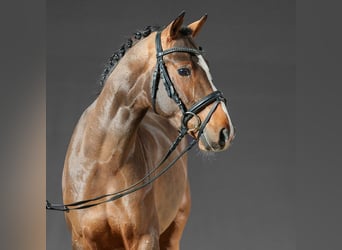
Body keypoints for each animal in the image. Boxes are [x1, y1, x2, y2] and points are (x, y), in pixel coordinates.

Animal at [61, 12, 235, 250]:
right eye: (184, 70)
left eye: (207, 67)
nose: (225, 130)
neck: (102, 161)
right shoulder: (82, 241)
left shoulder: (145, 238)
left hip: (171, 235)